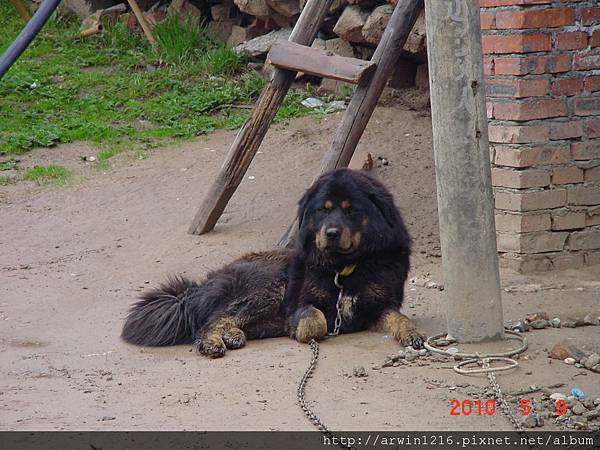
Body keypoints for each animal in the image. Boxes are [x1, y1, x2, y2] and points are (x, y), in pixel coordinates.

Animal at [120, 169, 422, 358]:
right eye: (322, 210)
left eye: (351, 210)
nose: (331, 233)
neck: (344, 269)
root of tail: (199, 287)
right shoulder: (299, 302)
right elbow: (316, 320)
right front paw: (300, 330)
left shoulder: (378, 307)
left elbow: (400, 319)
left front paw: (413, 334)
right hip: (270, 286)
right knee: (210, 321)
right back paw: (213, 342)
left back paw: (232, 335)